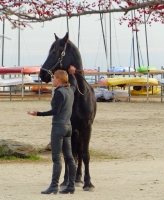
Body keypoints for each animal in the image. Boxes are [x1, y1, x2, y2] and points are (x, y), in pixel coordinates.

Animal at [39, 32, 96, 191]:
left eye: (54, 52)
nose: (41, 74)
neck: (77, 96)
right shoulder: (69, 129)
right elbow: (67, 155)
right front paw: (65, 180)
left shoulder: (87, 128)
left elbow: (85, 154)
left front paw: (88, 183)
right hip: (74, 132)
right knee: (73, 154)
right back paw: (74, 178)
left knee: (80, 154)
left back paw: (79, 178)